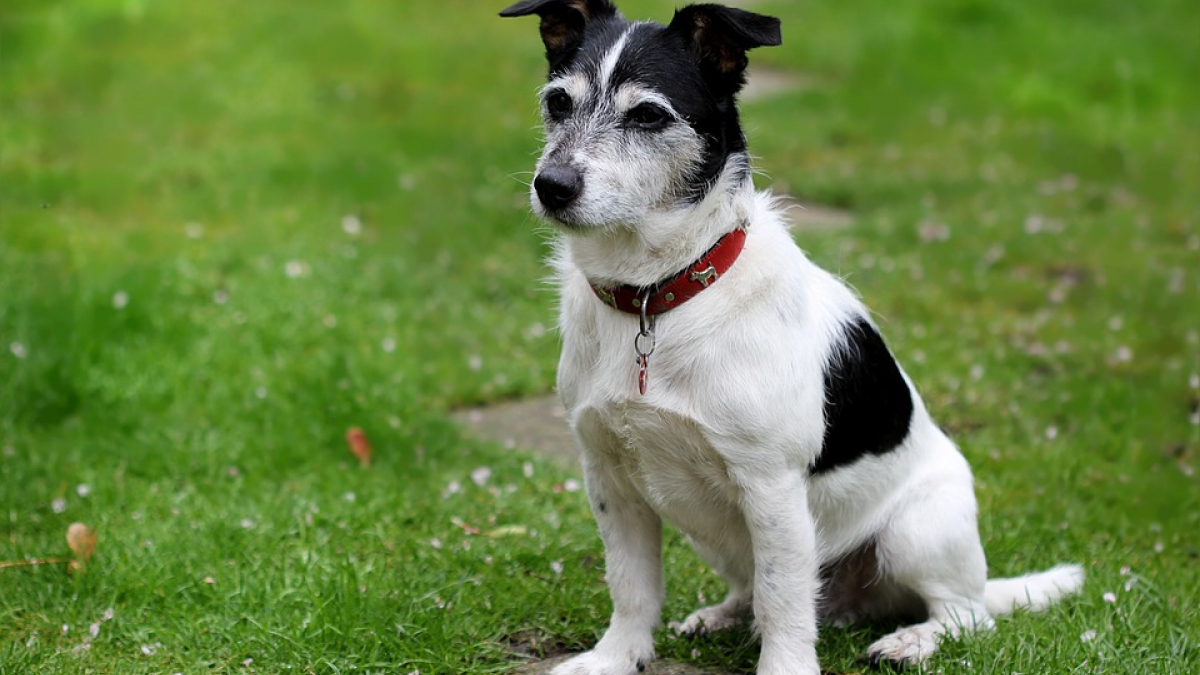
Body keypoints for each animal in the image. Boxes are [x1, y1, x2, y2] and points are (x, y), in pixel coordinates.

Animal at [501, 2, 1084, 667]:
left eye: (648, 114)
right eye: (557, 101)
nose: (552, 185)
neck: (656, 296)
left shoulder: (772, 487)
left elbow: (783, 599)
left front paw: (784, 668)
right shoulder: (610, 480)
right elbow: (631, 584)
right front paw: (615, 658)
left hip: (917, 532)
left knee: (963, 615)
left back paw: (910, 640)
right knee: (756, 590)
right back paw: (723, 615)